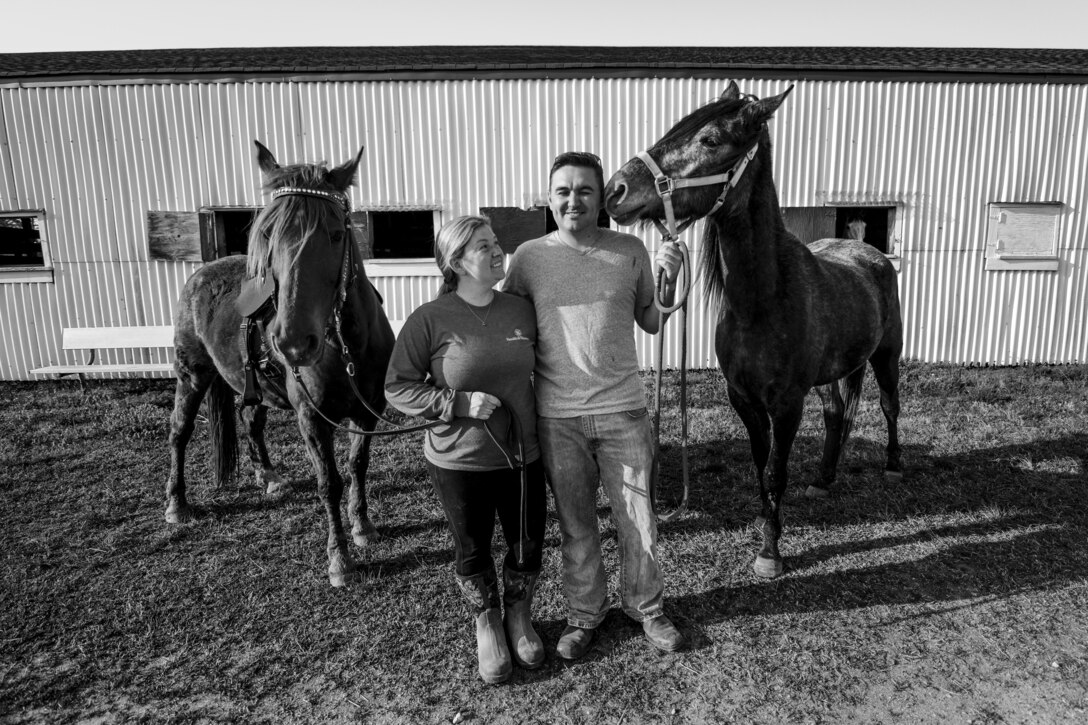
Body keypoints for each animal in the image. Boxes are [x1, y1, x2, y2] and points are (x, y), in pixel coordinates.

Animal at [163, 141, 393, 587]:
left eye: (337, 233)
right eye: (267, 234)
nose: (292, 342)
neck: (347, 346)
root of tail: (201, 274)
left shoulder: (369, 410)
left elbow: (357, 466)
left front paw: (362, 527)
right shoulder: (312, 417)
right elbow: (329, 481)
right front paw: (339, 559)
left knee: (250, 417)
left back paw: (267, 476)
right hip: (192, 376)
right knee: (180, 432)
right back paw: (177, 504)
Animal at [609, 80, 905, 574]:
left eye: (710, 139)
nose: (617, 189)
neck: (762, 302)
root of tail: (870, 253)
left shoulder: (786, 406)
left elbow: (776, 470)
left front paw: (770, 552)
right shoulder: (743, 400)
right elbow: (758, 464)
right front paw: (768, 529)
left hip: (887, 356)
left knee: (889, 405)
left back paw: (894, 465)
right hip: (834, 373)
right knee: (835, 414)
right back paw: (824, 478)